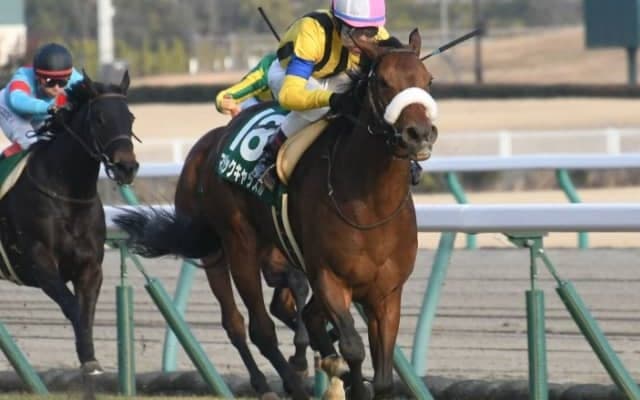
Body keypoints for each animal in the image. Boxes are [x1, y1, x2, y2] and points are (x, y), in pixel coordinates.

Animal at [0, 72, 138, 397]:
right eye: (100, 118)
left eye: (130, 117)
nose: (127, 166)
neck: (68, 195)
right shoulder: (40, 263)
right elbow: (74, 308)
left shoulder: (90, 267)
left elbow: (85, 312)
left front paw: (90, 363)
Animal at [115, 29, 437, 399]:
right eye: (384, 82)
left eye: (428, 80)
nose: (418, 134)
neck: (370, 206)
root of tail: (210, 143)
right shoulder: (328, 278)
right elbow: (352, 347)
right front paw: (343, 378)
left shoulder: (387, 292)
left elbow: (381, 374)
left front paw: (339, 369)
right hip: (232, 247)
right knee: (251, 326)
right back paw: (282, 382)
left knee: (289, 313)